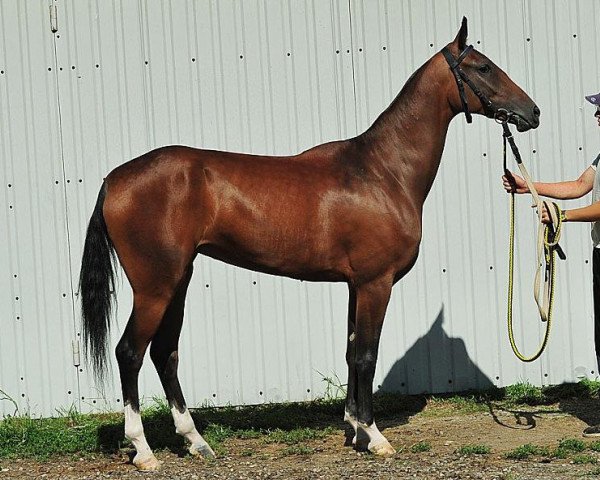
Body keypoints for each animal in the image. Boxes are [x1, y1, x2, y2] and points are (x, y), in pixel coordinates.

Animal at [78, 17, 540, 468]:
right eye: (483, 67)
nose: (532, 111)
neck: (383, 172)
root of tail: (114, 179)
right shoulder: (376, 283)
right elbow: (367, 355)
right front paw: (374, 436)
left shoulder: (355, 285)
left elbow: (352, 352)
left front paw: (354, 428)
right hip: (155, 287)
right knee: (130, 353)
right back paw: (143, 450)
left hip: (178, 280)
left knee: (165, 354)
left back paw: (196, 442)